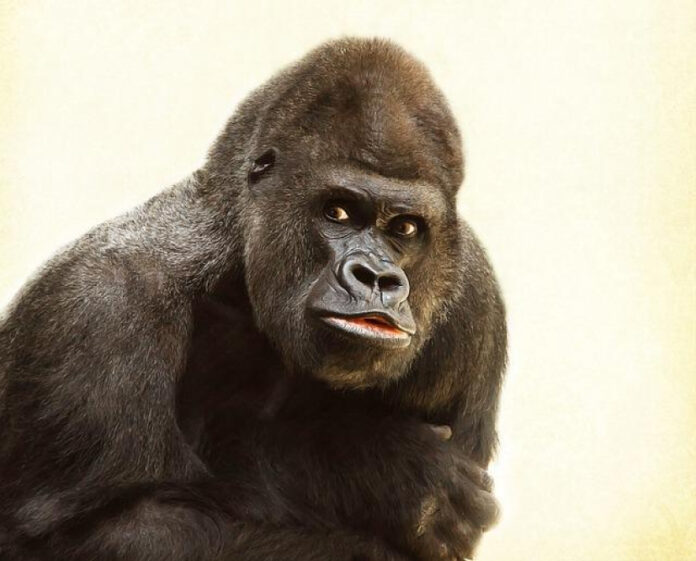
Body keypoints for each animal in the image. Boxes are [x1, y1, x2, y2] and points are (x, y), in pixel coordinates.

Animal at [0, 38, 506, 561]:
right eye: (338, 212)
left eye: (405, 228)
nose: (377, 278)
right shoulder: (98, 305)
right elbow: (89, 532)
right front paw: (374, 467)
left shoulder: (474, 304)